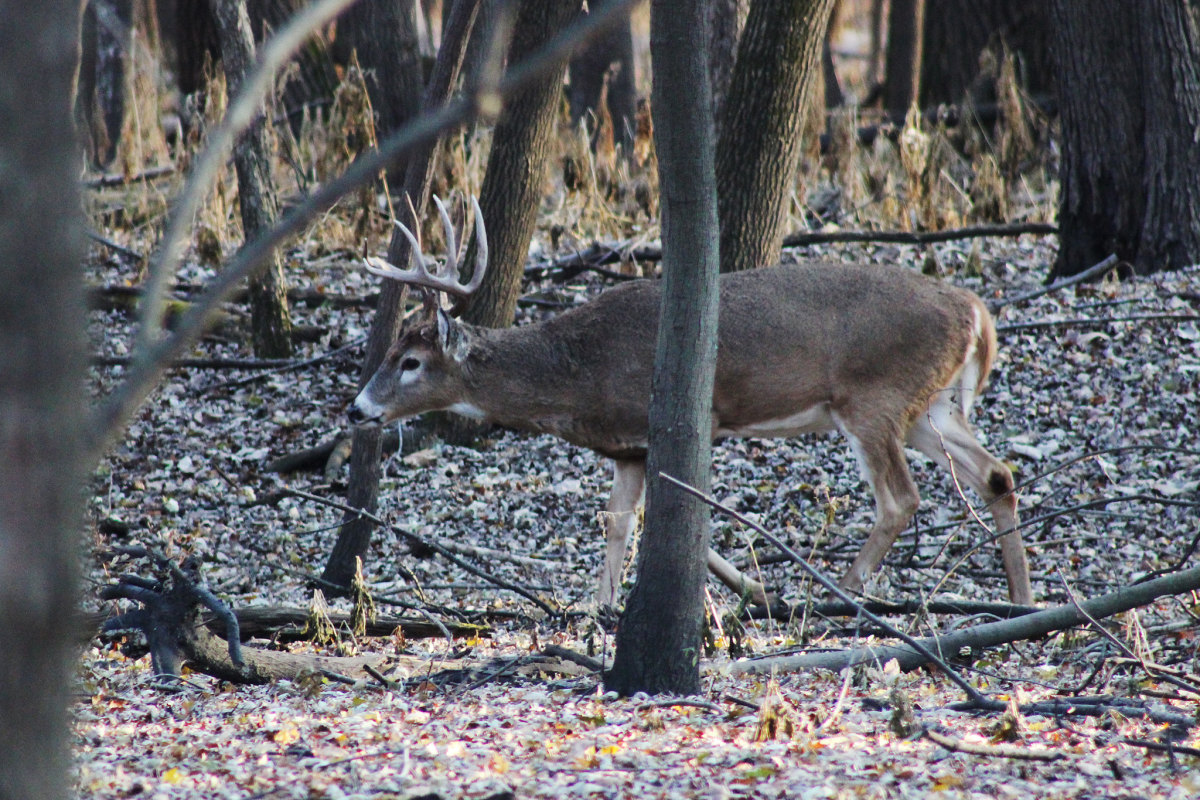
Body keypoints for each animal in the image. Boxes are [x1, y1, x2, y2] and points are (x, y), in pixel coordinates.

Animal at [348, 199, 1032, 606]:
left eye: (410, 362)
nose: (356, 410)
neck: (578, 373)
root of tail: (975, 309)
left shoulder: (681, 421)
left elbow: (674, 518)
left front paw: (756, 589)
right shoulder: (626, 447)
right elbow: (622, 522)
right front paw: (599, 605)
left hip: (873, 396)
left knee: (901, 497)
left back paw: (837, 592)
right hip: (930, 404)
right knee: (996, 473)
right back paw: (1021, 601)